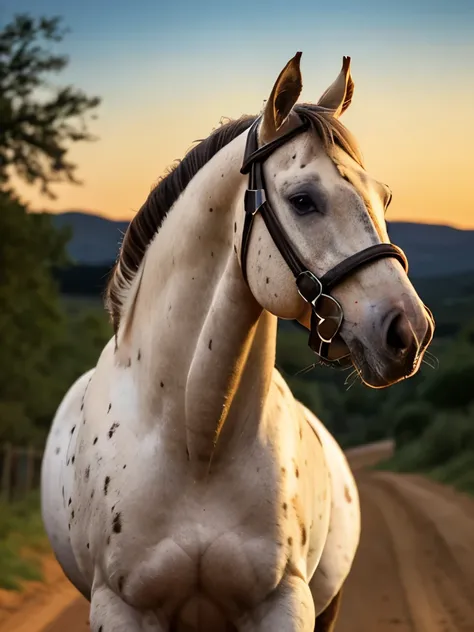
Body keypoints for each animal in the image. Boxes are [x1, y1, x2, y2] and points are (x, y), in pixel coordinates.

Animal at [40, 54, 434, 632]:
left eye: (382, 196)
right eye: (303, 200)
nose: (410, 332)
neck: (199, 440)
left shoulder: (285, 605)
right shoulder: (119, 606)